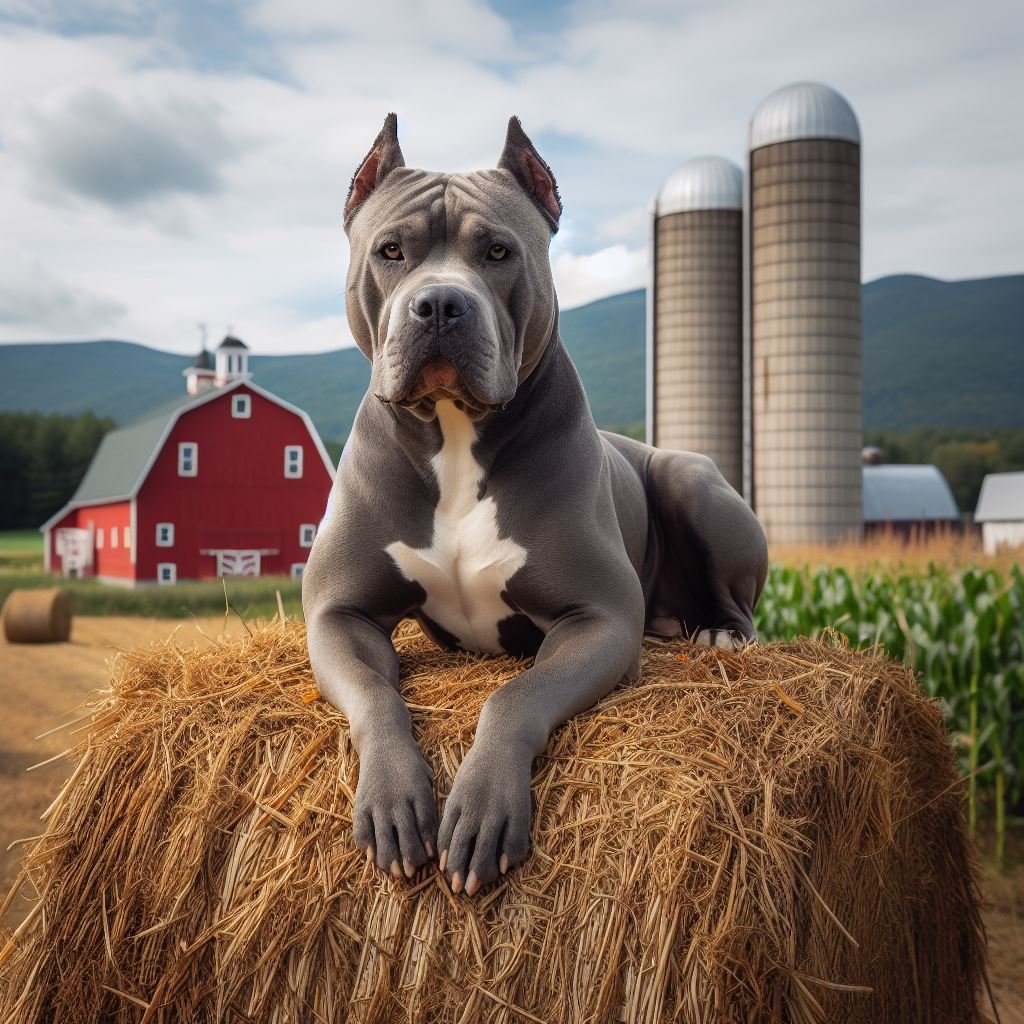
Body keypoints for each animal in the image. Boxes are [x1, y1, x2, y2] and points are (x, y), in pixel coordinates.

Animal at [299, 114, 765, 897]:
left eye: (498, 251)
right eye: (391, 251)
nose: (440, 303)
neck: (455, 434)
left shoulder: (600, 620)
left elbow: (513, 697)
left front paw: (482, 807)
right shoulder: (341, 614)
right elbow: (374, 696)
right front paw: (395, 799)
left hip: (691, 478)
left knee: (738, 602)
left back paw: (720, 634)